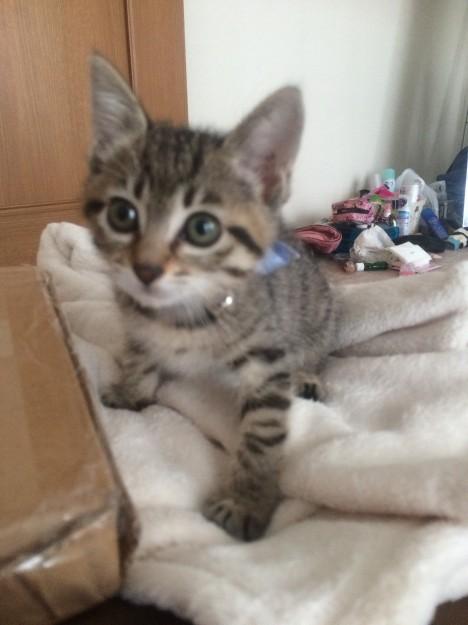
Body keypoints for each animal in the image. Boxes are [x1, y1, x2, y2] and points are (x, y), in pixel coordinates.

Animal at [84, 54, 335, 541]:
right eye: (122, 214)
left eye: (203, 228)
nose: (145, 269)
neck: (179, 315)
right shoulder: (137, 320)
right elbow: (140, 352)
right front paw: (132, 388)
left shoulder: (266, 360)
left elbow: (262, 432)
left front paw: (246, 501)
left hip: (319, 310)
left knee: (318, 350)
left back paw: (308, 374)